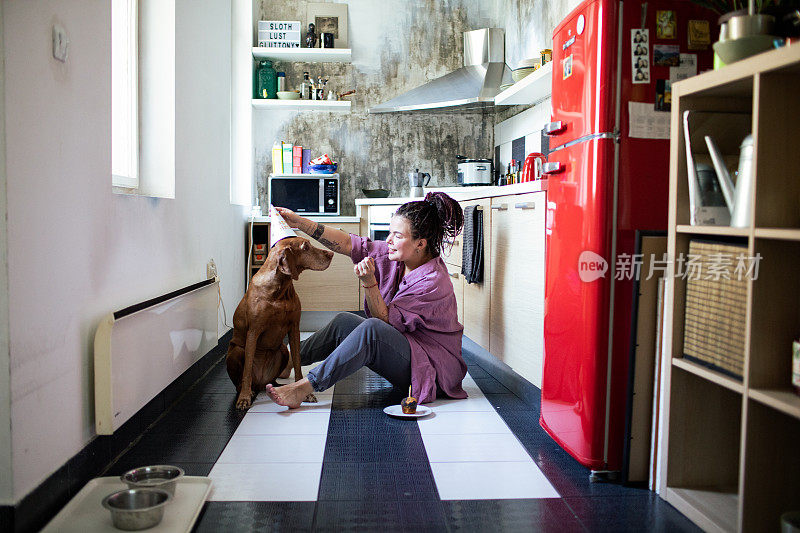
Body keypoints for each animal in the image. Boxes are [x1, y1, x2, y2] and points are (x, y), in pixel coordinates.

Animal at [227, 236, 332, 408]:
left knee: (273, 379)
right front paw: (244, 398)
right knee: (242, 379)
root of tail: (260, 383)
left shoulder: (294, 328)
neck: (280, 288)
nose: (331, 253)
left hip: (282, 349)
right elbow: (247, 371)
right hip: (236, 351)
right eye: (305, 247)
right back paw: (247, 391)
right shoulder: (253, 331)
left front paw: (305, 393)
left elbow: (297, 363)